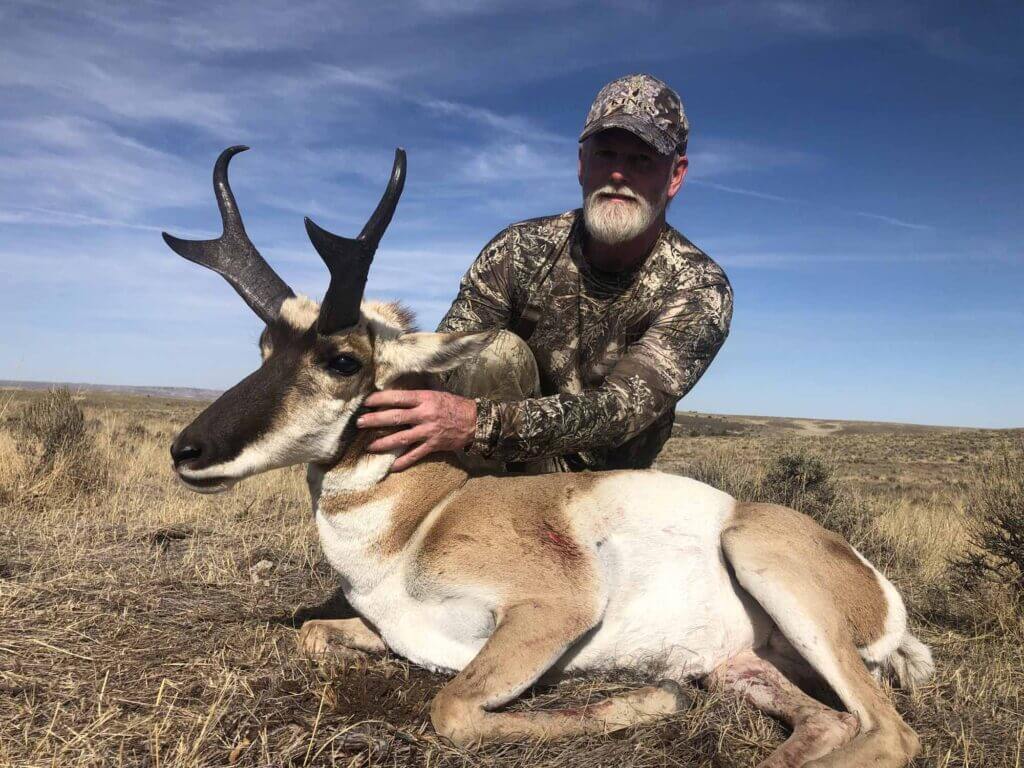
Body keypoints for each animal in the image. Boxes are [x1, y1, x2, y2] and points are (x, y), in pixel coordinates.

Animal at [164, 146, 933, 767]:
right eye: (265, 348)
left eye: (343, 359)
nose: (187, 450)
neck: (425, 518)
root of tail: (876, 587)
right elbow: (314, 634)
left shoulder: (551, 612)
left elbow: (451, 709)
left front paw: (652, 701)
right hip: (742, 665)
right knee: (832, 724)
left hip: (761, 559)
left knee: (892, 734)